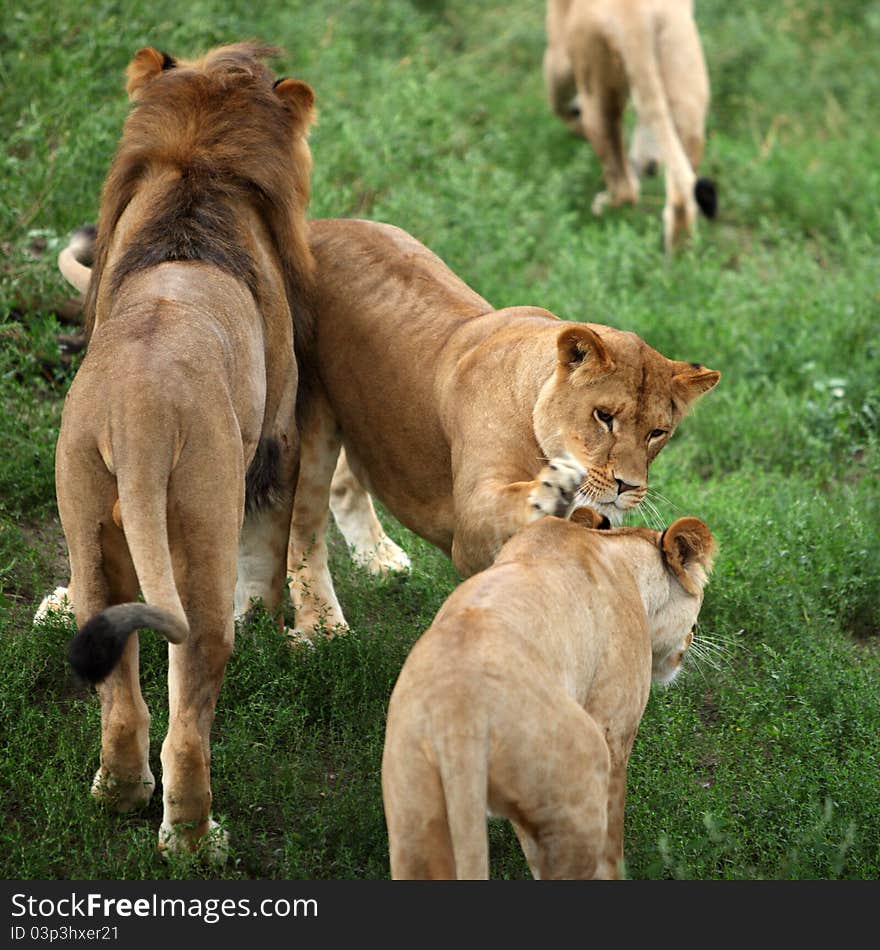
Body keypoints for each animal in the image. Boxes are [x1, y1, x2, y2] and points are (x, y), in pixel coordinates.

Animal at [55, 41, 316, 860]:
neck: (195, 172)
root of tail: (138, 416)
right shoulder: (281, 430)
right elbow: (270, 550)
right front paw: (274, 623)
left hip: (86, 511)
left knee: (121, 694)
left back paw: (118, 794)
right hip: (203, 513)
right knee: (190, 712)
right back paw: (197, 838)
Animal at [544, 0, 716, 253]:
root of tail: (634, 20)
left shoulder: (558, 54)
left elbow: (557, 102)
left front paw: (574, 118)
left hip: (597, 99)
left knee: (626, 188)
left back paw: (604, 206)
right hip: (687, 99)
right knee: (680, 198)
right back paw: (680, 255)